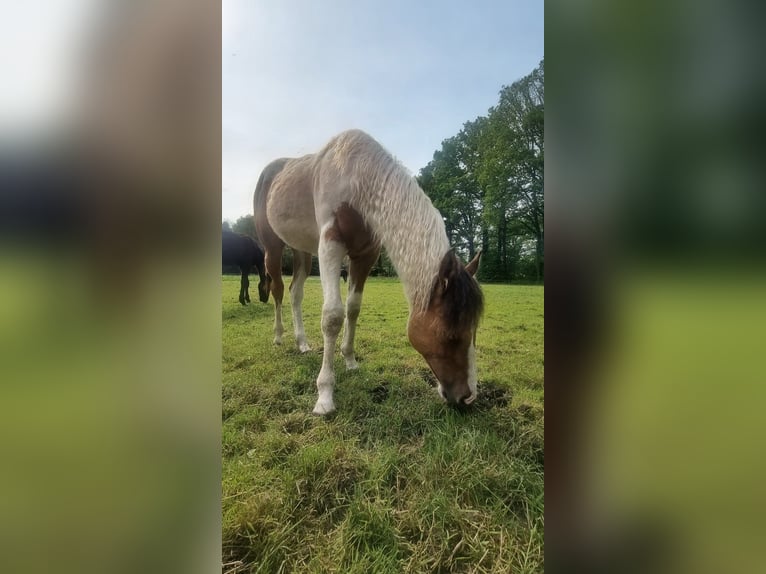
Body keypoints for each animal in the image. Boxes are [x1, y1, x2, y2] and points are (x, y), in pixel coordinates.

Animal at [253, 130, 483, 415]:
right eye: (450, 335)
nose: (468, 398)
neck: (356, 180)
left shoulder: (365, 256)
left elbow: (353, 308)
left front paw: (350, 359)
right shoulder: (330, 245)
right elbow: (332, 316)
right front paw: (325, 396)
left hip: (301, 250)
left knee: (296, 293)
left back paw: (302, 343)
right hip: (273, 248)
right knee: (278, 290)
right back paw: (278, 336)